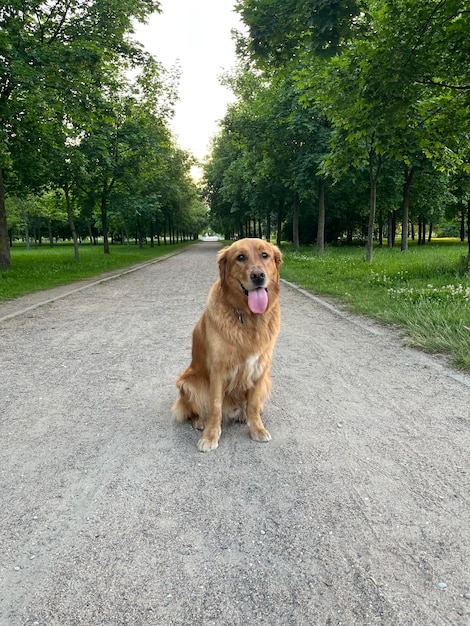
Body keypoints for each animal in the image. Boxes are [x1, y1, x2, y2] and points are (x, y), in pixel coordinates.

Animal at [173, 238, 282, 448]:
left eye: (264, 255)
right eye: (240, 257)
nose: (258, 275)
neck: (247, 316)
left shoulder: (260, 369)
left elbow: (253, 404)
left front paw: (256, 428)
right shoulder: (218, 370)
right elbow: (215, 406)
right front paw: (210, 436)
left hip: (267, 381)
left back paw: (243, 415)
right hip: (188, 382)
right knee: (195, 410)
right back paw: (200, 421)